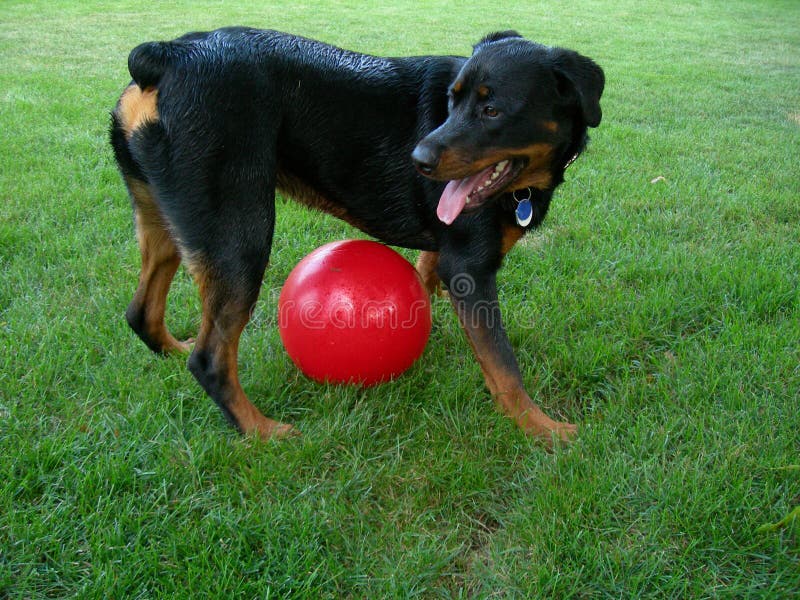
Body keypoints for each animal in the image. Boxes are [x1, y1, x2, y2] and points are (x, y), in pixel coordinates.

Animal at [109, 28, 604, 448]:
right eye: (452, 101)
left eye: (492, 109)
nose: (418, 158)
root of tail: (168, 56)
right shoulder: (469, 269)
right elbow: (503, 364)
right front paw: (542, 429)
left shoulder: (444, 257)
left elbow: (428, 288)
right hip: (239, 236)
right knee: (211, 359)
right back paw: (263, 432)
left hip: (166, 219)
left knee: (142, 313)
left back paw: (174, 351)